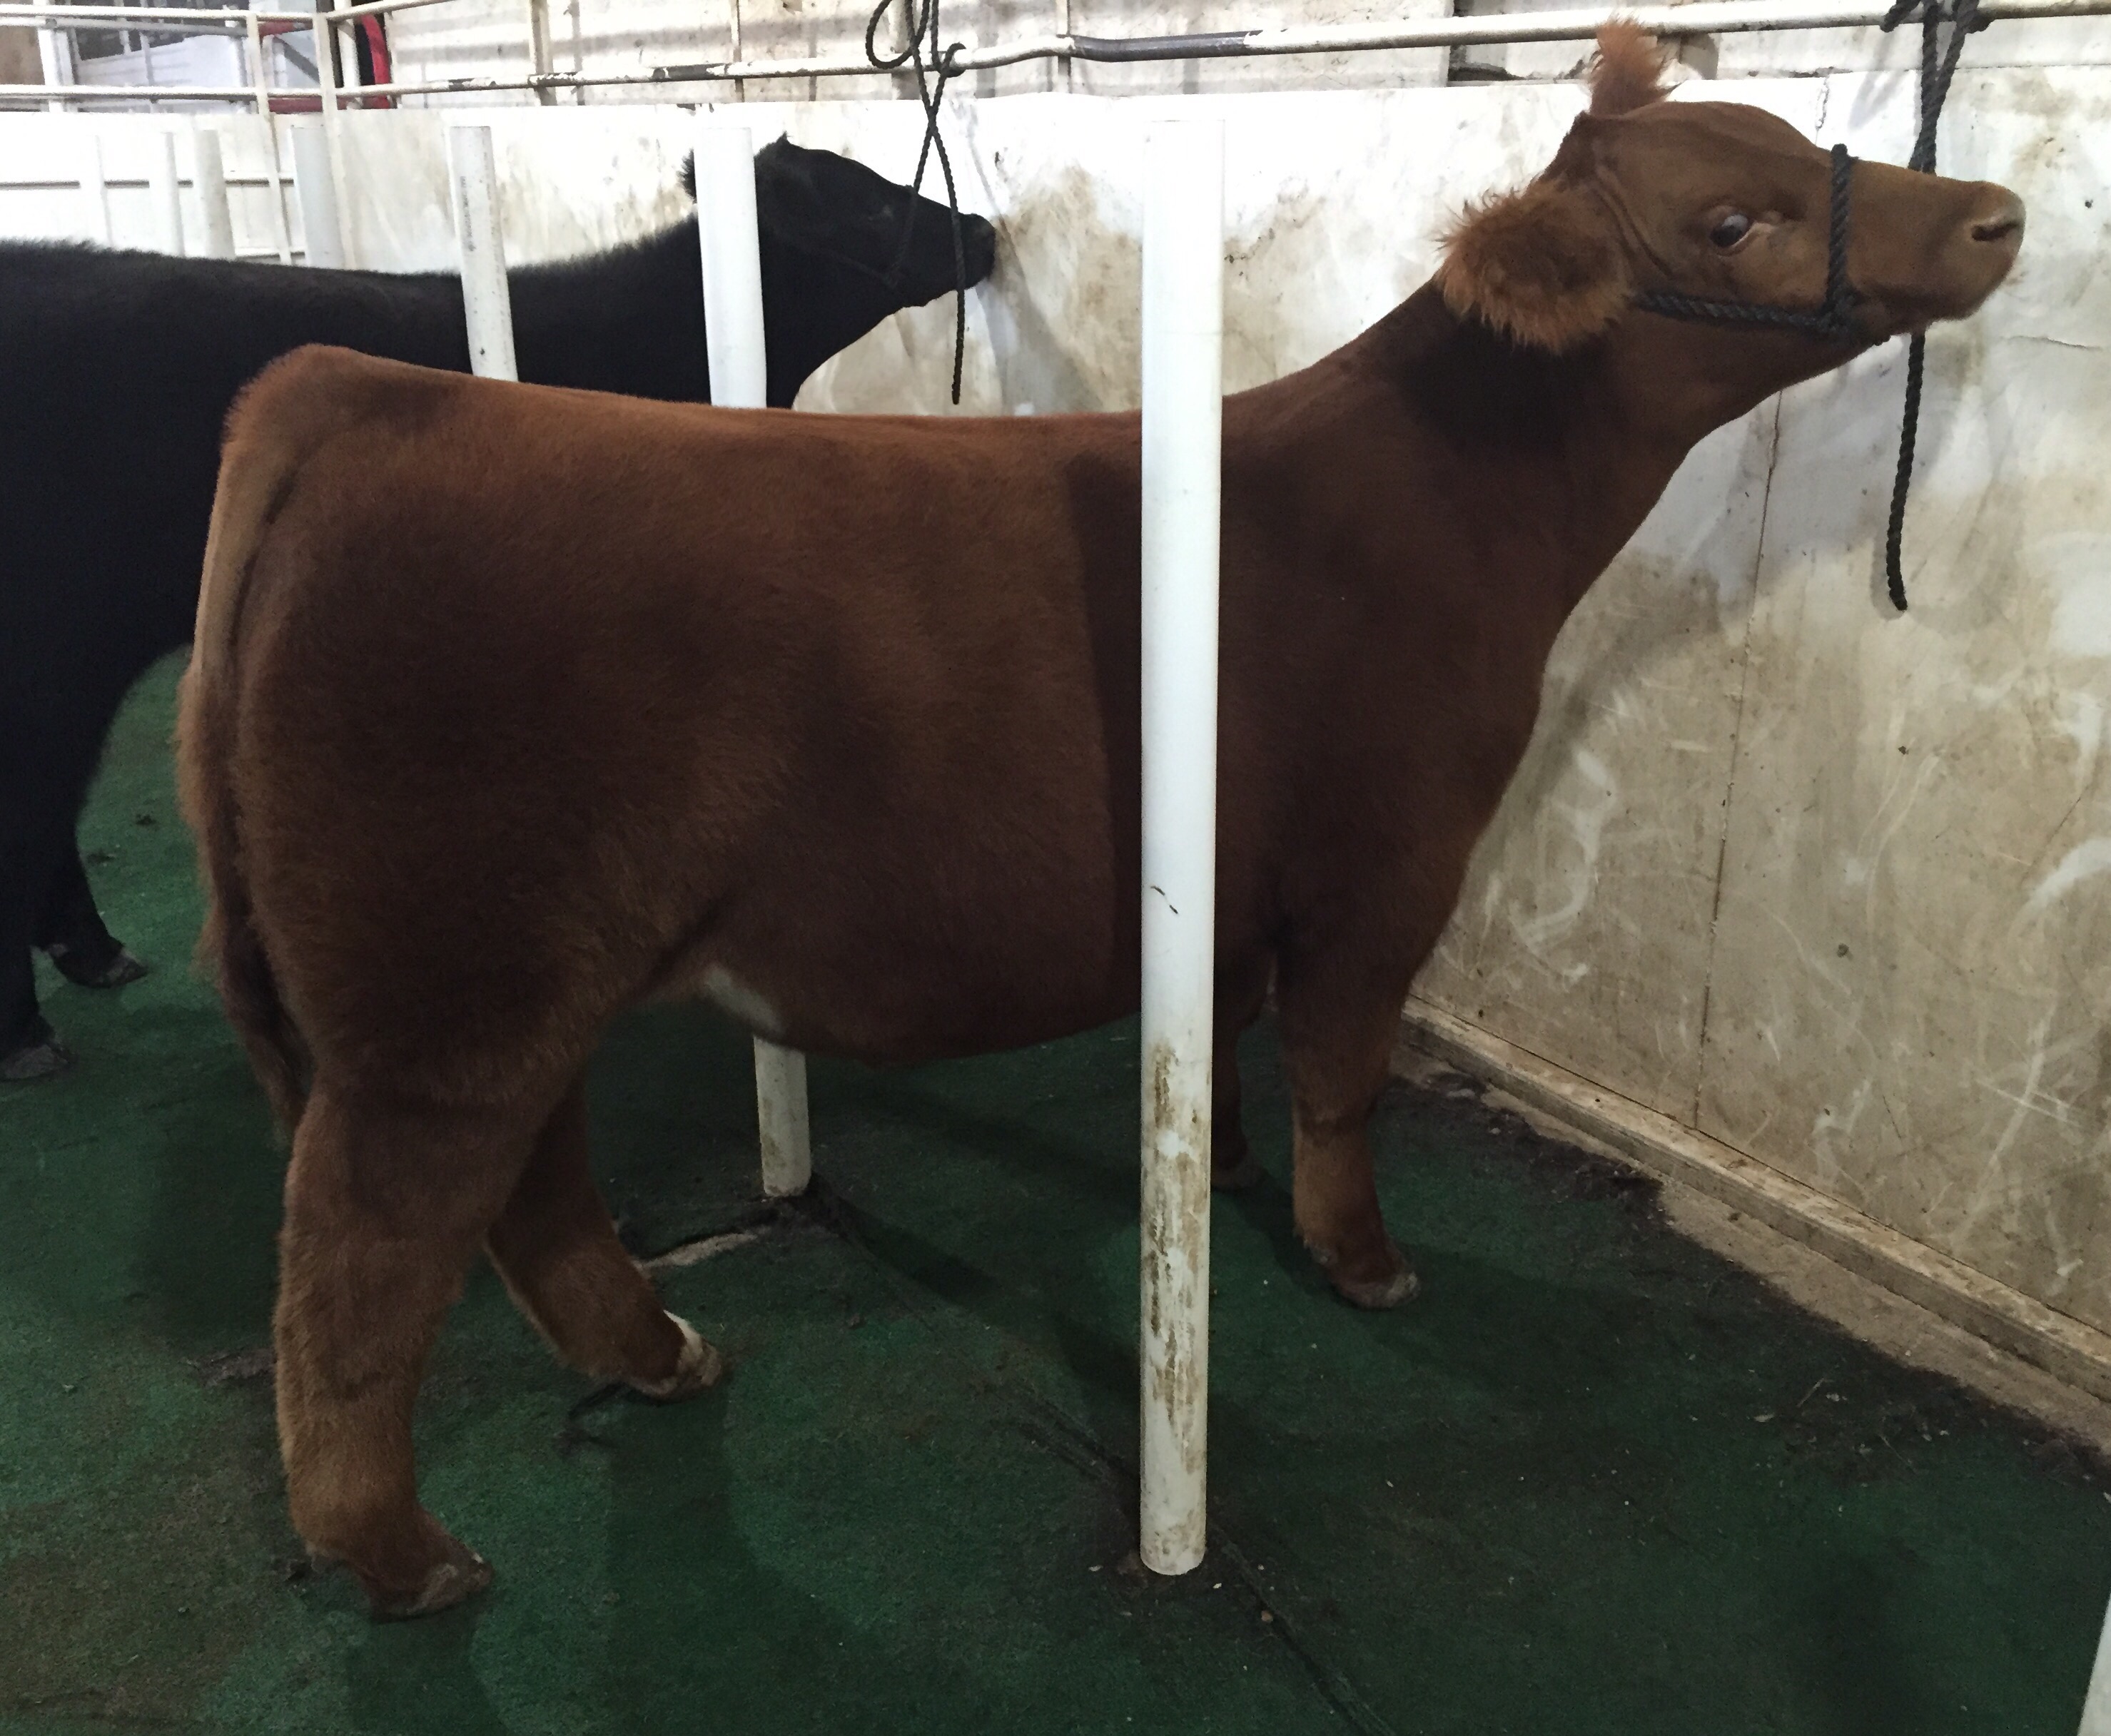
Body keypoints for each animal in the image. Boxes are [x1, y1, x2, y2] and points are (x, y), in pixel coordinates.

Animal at [177, 27, 2023, 1617]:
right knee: (361, 1264)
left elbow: (1227, 1048)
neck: (1445, 509)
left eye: (1789, 145)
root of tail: (360, 393)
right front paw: (1358, 1256)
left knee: (532, 1186)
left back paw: (658, 1354)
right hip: (443, 995)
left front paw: (1222, 1180)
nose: (1996, 215)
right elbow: (1345, 1074)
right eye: (1734, 221)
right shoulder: (1392, 860)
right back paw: (407, 1553)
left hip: (510, 976)